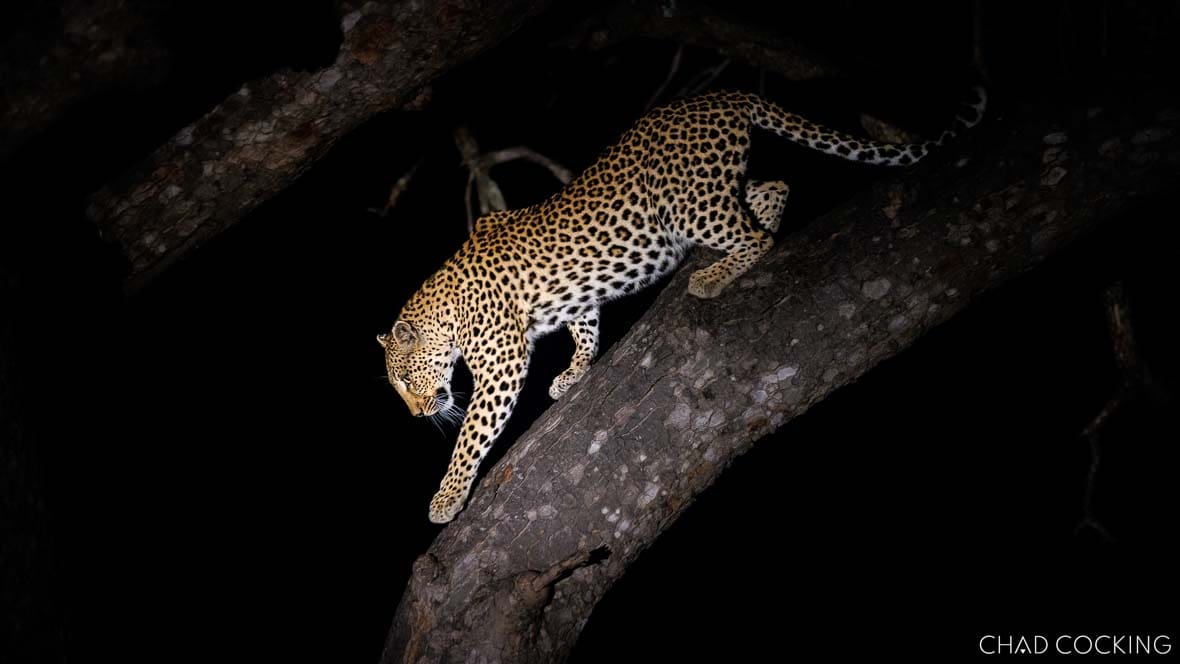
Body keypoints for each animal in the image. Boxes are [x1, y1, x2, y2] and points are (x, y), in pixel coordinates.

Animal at [379, 87, 987, 523]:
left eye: (405, 379)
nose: (415, 415)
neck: (446, 310)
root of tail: (719, 96)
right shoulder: (576, 301)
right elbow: (586, 326)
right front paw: (573, 374)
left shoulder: (502, 363)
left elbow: (471, 434)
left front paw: (446, 497)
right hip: (713, 192)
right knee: (775, 185)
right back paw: (753, 229)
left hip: (688, 205)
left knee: (755, 235)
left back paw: (713, 276)